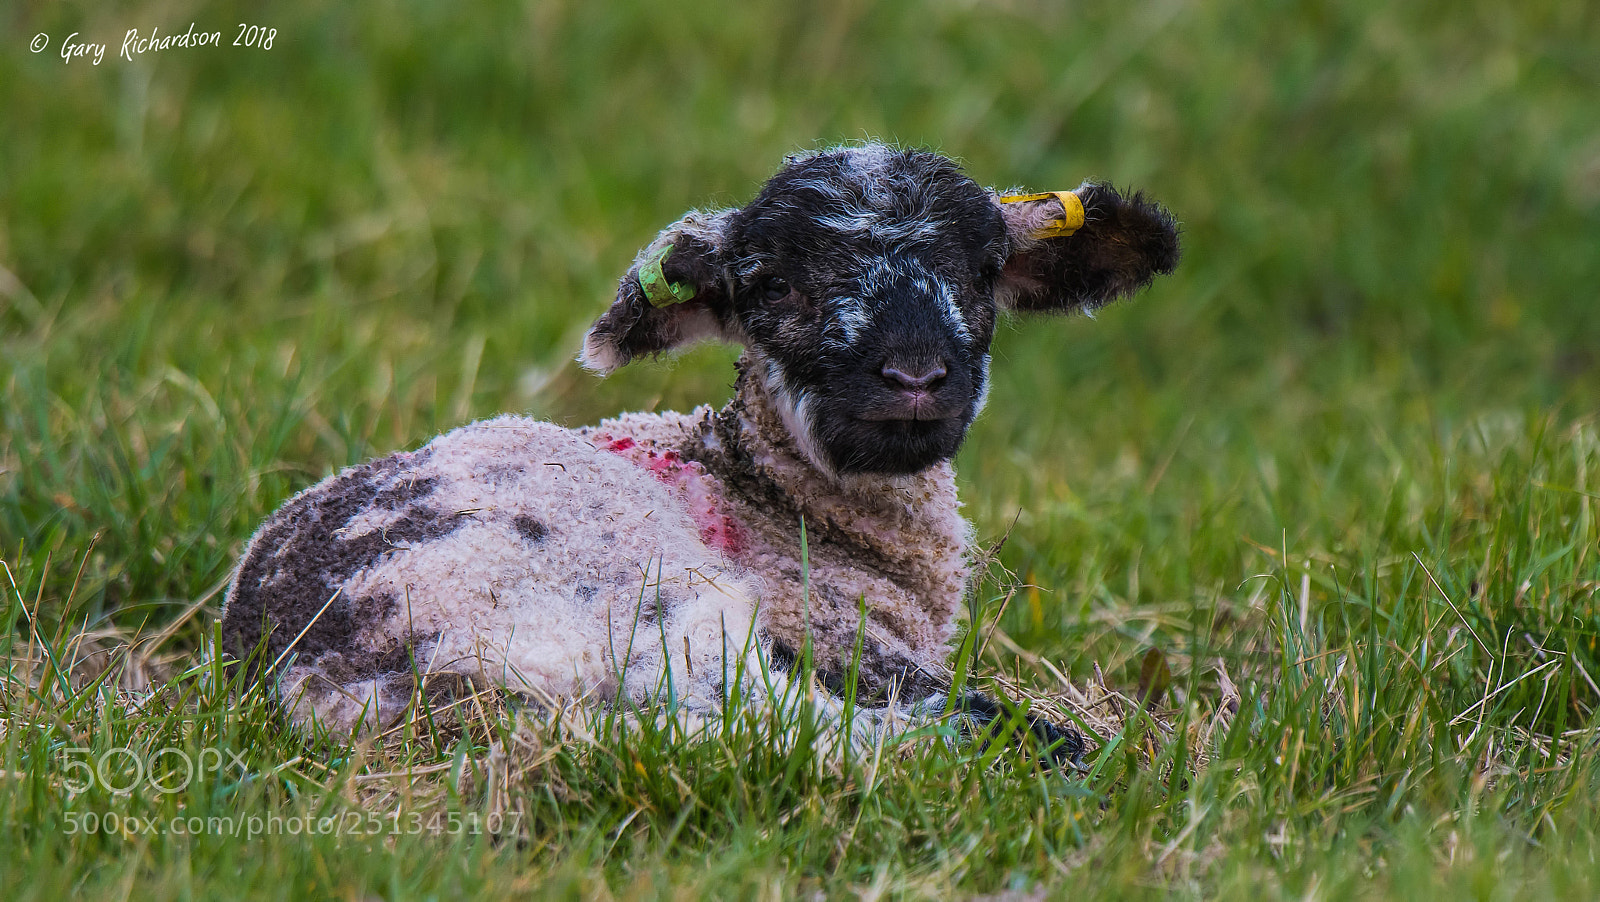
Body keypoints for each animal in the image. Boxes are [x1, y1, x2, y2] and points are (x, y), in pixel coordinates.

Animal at [220, 144, 1180, 759]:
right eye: (775, 286)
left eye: (983, 274)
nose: (915, 377)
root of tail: (316, 676)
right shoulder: (827, 628)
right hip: (642, 606)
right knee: (790, 731)